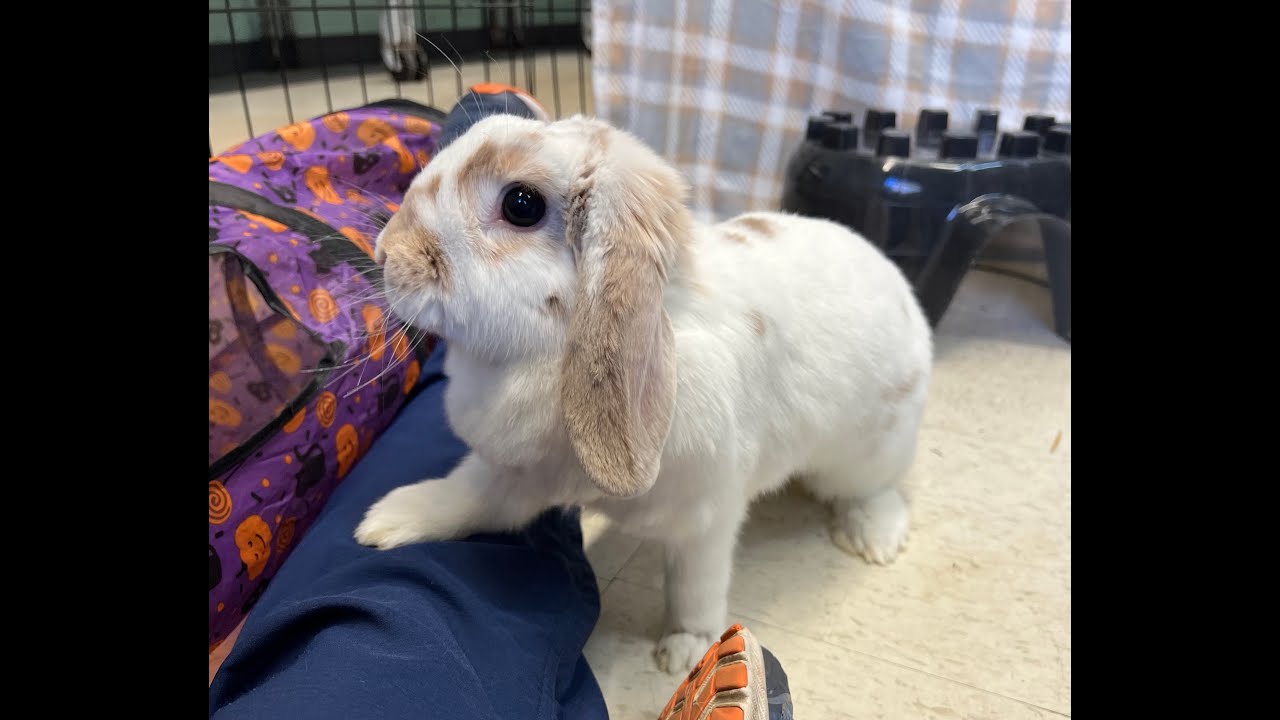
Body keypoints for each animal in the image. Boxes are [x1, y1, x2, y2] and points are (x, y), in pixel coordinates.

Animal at [355, 113, 933, 674]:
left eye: (521, 204)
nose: (385, 252)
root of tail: (903, 293)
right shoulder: (515, 477)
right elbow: (465, 498)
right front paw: (384, 521)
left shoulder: (706, 517)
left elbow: (695, 588)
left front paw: (686, 652)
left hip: (866, 453)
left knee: (878, 491)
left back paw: (875, 539)